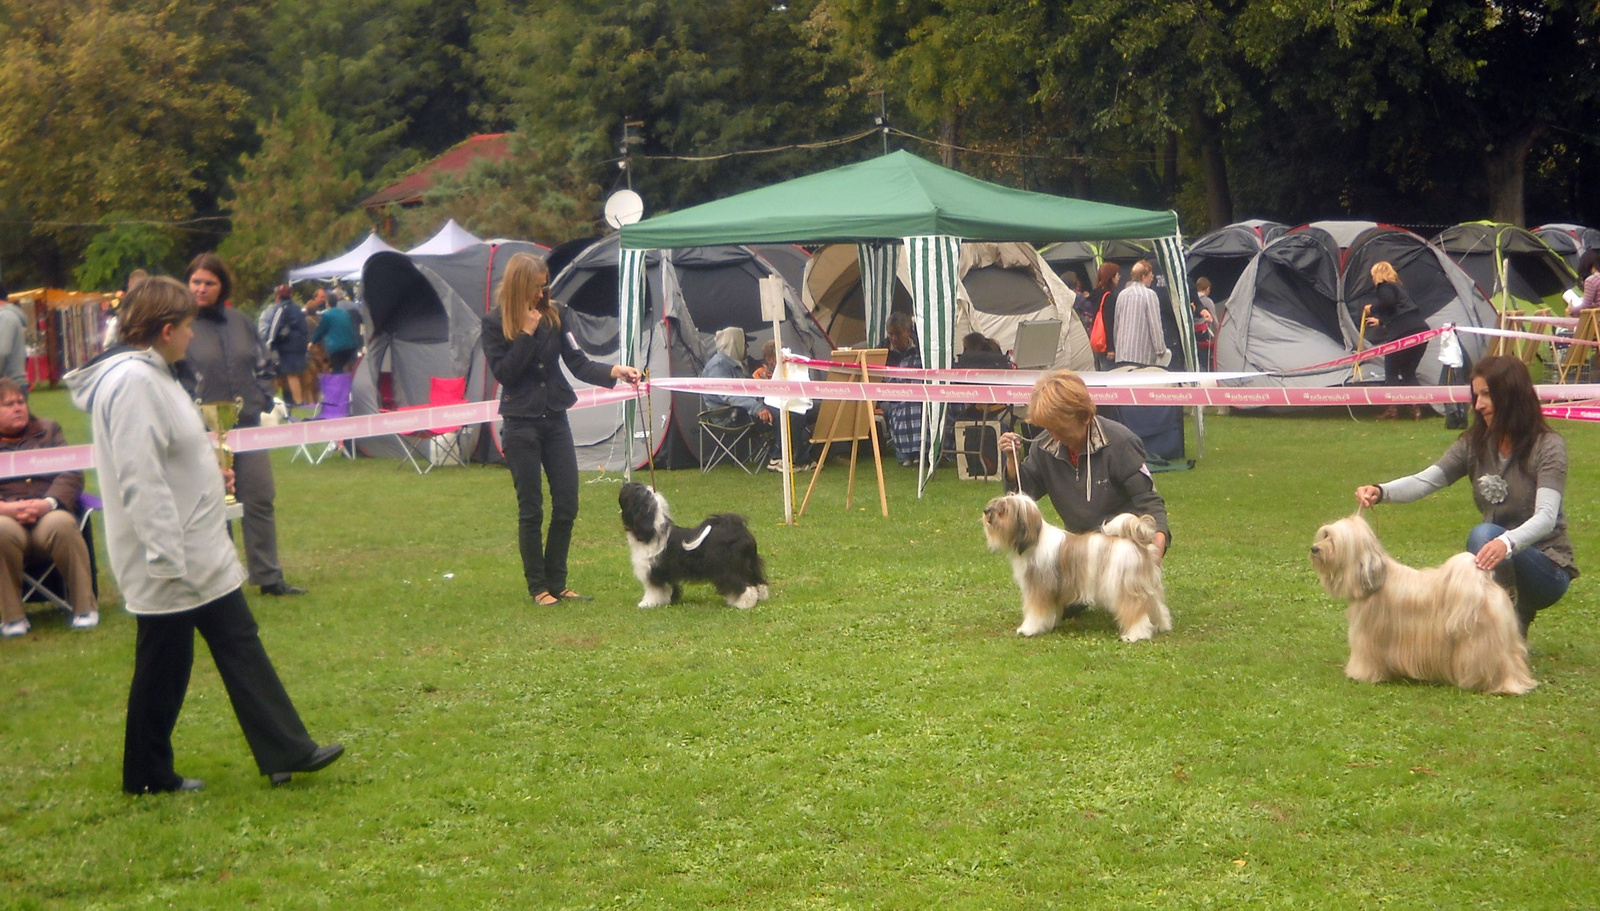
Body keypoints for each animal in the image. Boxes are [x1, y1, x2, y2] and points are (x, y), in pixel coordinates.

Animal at [617, 480, 768, 608]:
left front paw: (647, 603)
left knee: (744, 586)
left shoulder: (653, 571)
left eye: (631, 490)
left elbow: (654, 590)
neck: (651, 530)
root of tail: (738, 529)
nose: (624, 483)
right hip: (749, 563)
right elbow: (669, 588)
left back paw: (744, 603)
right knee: (759, 582)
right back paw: (761, 597)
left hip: (729, 568)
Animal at [979, 489, 1171, 640]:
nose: (986, 510)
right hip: (1147, 587)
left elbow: (1035, 612)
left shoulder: (1039, 589)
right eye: (995, 504)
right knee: (1156, 607)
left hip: (1126, 589)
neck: (1034, 540)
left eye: (1003, 509)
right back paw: (1163, 625)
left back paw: (1135, 635)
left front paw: (1028, 629)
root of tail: (1138, 545)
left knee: (1136, 612)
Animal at [1312, 515, 1536, 691]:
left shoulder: (1368, 637)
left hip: (1481, 642)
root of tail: (1484, 584)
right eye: (1324, 534)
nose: (1314, 548)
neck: (1375, 578)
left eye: (1332, 539)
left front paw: (1361, 675)